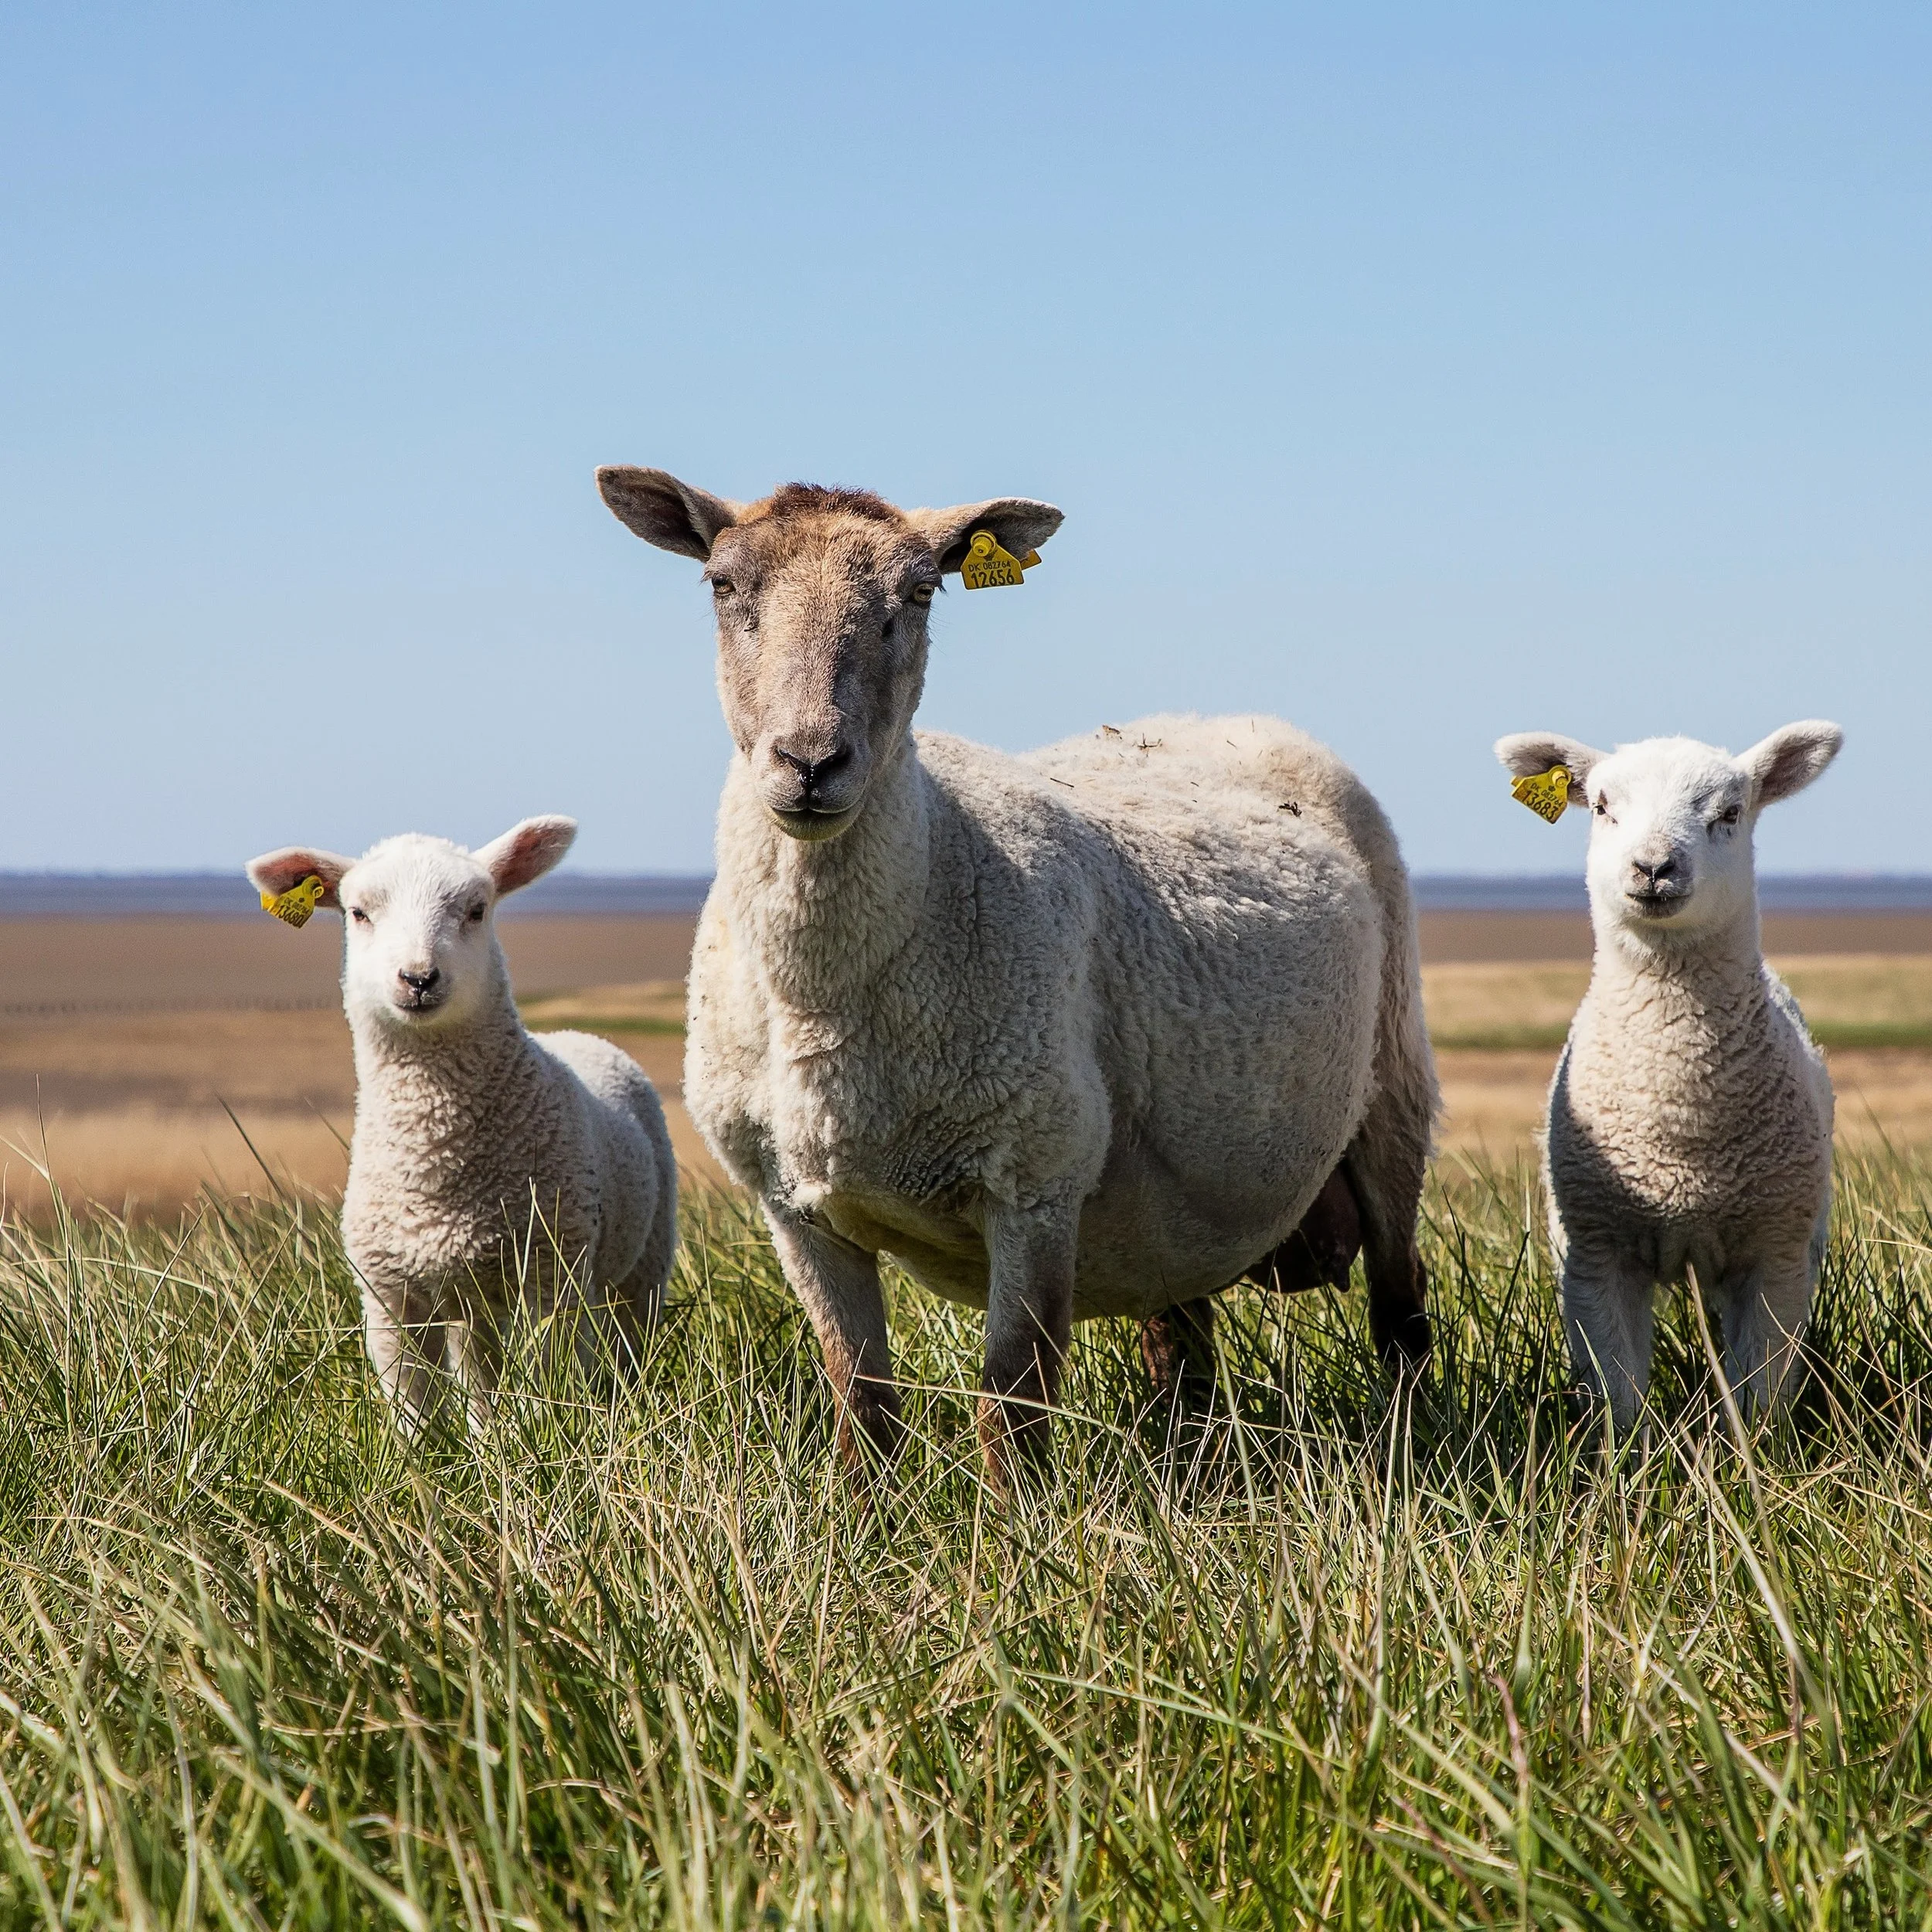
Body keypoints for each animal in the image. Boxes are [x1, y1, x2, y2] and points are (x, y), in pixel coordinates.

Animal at [245, 817, 677, 1428]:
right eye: (358, 912)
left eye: (477, 909)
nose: (418, 977)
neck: (437, 1160)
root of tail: (576, 1033)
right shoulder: (390, 1294)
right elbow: (411, 1408)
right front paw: (426, 1453)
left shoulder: (551, 1274)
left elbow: (553, 1376)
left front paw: (551, 1434)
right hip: (470, 1298)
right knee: (480, 1373)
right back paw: (484, 1436)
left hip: (640, 1264)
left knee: (625, 1340)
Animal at [597, 468, 1439, 1485]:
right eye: (721, 584)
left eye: (922, 593)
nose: (809, 762)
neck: (827, 997)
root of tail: (1212, 718)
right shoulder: (793, 1207)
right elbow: (859, 1401)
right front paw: (865, 1517)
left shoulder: (1034, 1180)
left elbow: (1012, 1398)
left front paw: (1013, 1525)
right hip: (1175, 1201)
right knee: (1182, 1341)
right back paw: (1189, 1466)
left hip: (1393, 1085)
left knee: (1400, 1307)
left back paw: (1411, 1449)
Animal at [1493, 723, 1843, 1431]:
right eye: (1602, 807)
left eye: (1731, 813)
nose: (1653, 867)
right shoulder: (1595, 1254)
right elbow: (1616, 1397)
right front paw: (1622, 1457)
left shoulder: (1777, 1252)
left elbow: (1762, 1394)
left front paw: (1755, 1456)